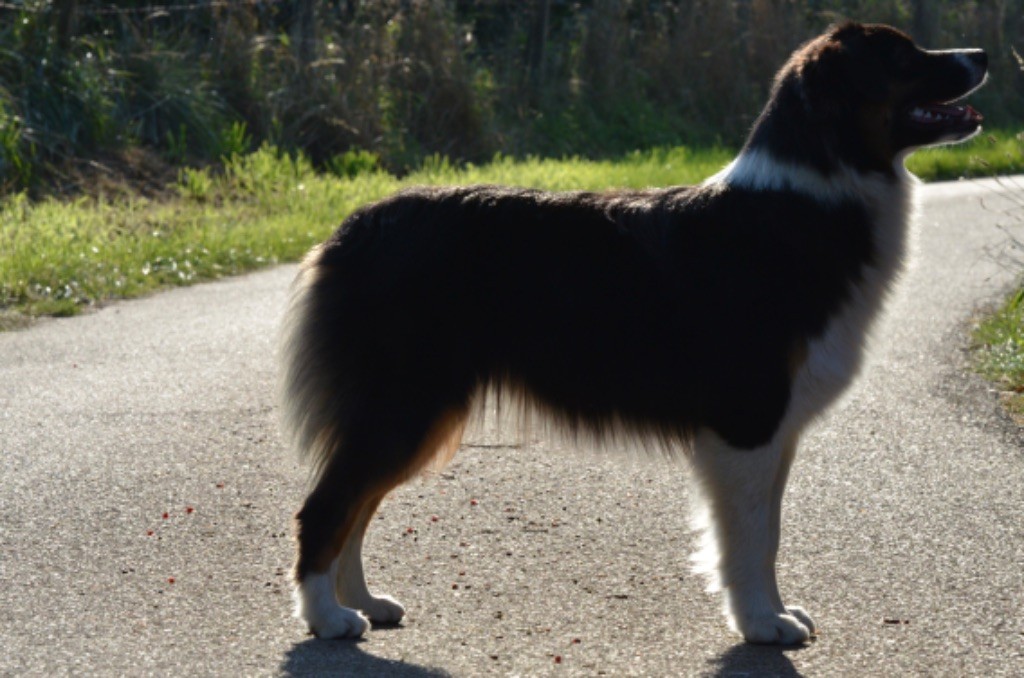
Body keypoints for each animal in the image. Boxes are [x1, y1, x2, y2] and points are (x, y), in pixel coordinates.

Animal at [278, 21, 983, 647]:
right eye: (901, 56)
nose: (980, 54)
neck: (812, 190)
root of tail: (355, 227)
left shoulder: (775, 430)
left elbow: (768, 533)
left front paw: (775, 614)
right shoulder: (748, 419)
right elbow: (750, 538)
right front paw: (761, 624)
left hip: (409, 412)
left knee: (357, 507)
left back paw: (365, 602)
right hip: (406, 403)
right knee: (326, 507)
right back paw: (329, 619)